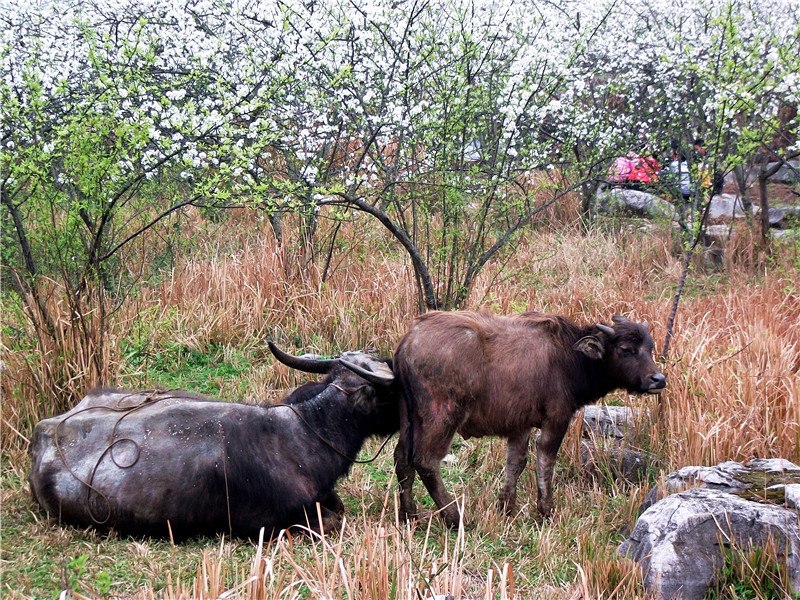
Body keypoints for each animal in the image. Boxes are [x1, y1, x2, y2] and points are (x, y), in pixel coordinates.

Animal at [392, 312, 664, 528]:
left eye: (650, 348)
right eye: (625, 349)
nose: (658, 379)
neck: (568, 357)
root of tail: (407, 342)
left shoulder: (519, 424)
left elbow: (516, 462)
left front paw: (506, 507)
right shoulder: (556, 418)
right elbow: (545, 461)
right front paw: (546, 510)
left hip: (409, 417)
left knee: (402, 459)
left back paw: (409, 516)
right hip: (443, 416)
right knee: (426, 461)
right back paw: (454, 517)